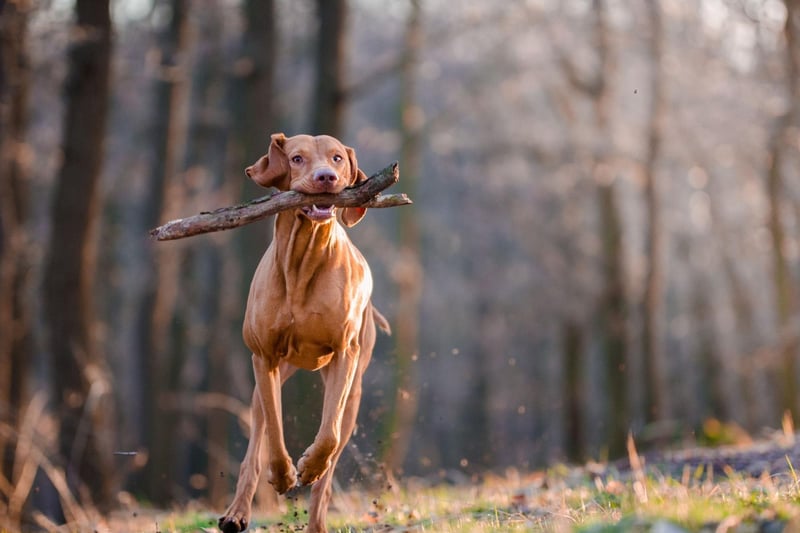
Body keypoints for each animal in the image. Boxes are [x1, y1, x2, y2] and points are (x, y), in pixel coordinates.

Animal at [219, 133, 390, 532]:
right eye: (296, 158)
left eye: (338, 158)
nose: (327, 177)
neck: (303, 259)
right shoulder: (264, 358)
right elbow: (274, 431)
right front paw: (282, 475)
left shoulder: (345, 354)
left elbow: (327, 436)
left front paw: (308, 467)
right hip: (267, 380)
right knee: (256, 444)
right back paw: (237, 513)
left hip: (353, 394)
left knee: (330, 465)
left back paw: (316, 515)